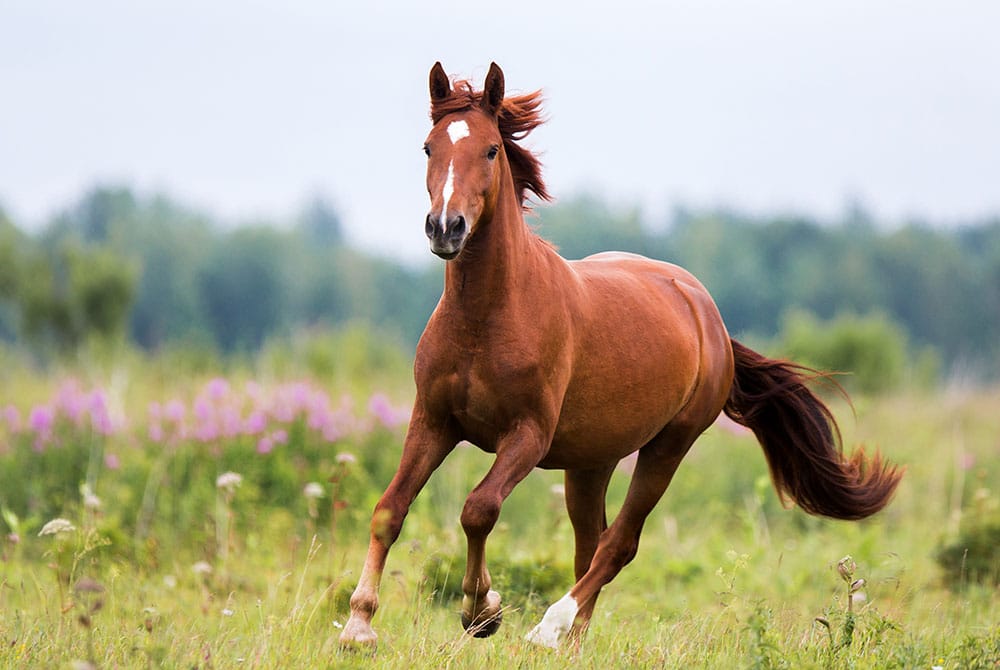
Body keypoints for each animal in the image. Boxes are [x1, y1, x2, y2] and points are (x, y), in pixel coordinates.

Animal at [339, 62, 902, 650]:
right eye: (429, 148)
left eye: (492, 150)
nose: (446, 228)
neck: (486, 319)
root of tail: (708, 315)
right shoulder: (433, 420)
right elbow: (389, 509)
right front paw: (359, 624)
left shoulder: (527, 435)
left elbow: (479, 509)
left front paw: (481, 611)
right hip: (592, 461)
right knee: (592, 544)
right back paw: (572, 640)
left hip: (668, 446)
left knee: (618, 544)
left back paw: (550, 628)